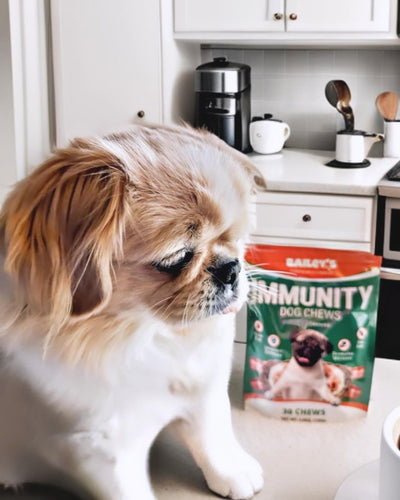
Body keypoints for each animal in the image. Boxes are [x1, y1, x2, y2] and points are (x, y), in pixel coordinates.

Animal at [0, 125, 264, 500]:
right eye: (177, 257)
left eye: (237, 239)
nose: (231, 268)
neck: (146, 336)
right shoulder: (98, 450)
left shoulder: (204, 392)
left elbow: (212, 433)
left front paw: (232, 471)